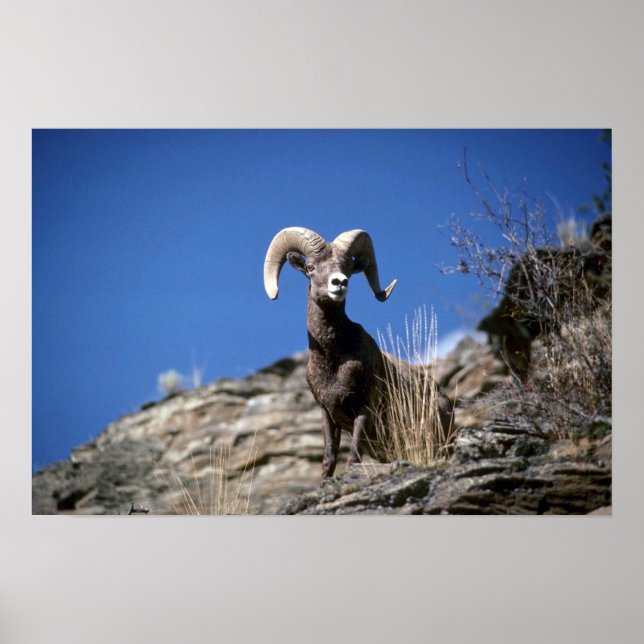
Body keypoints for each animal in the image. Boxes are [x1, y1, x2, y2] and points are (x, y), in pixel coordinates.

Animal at [264, 226, 452, 479]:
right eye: (311, 267)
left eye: (347, 268)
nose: (339, 283)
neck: (333, 362)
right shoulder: (327, 413)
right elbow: (329, 458)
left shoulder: (364, 408)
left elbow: (353, 456)